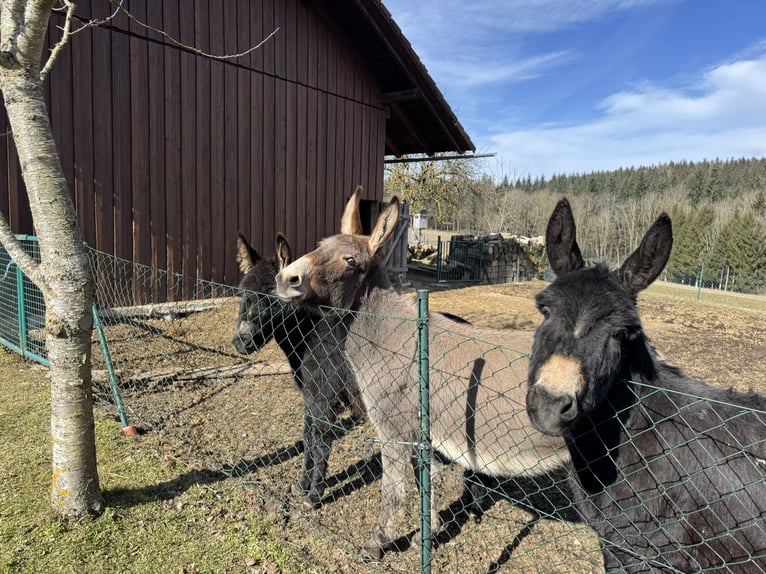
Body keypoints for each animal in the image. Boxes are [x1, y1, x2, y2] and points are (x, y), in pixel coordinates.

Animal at [274, 189, 569, 559]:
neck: (392, 335)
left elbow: (394, 489)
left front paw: (378, 544)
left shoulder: (393, 430)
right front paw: (429, 532)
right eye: (319, 245)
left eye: (351, 261)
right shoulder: (420, 434)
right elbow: (422, 480)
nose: (285, 279)